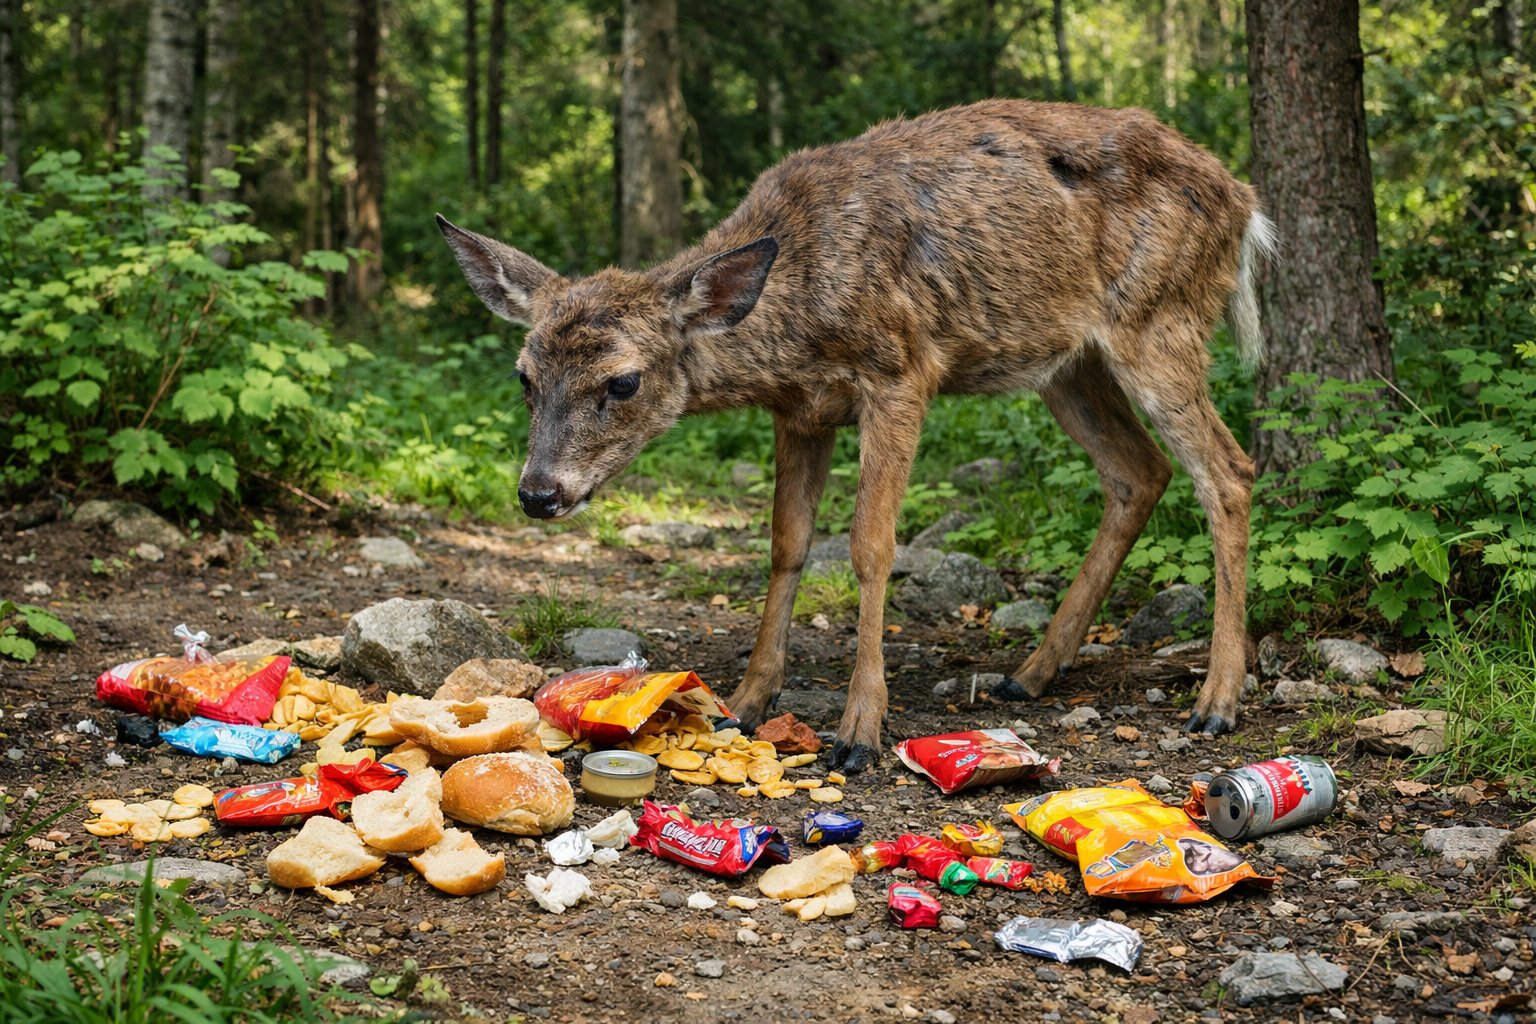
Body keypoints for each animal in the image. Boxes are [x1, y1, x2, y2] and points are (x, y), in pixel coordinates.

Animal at [438, 99, 1276, 773]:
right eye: (523, 375)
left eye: (623, 381)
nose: (539, 492)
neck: (798, 307)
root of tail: (1244, 202)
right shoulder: (801, 411)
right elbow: (787, 543)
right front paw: (744, 700)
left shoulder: (902, 371)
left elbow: (872, 546)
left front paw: (860, 729)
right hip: (1066, 362)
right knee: (1139, 472)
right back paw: (1032, 671)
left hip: (1159, 320)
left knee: (1228, 470)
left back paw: (1217, 700)